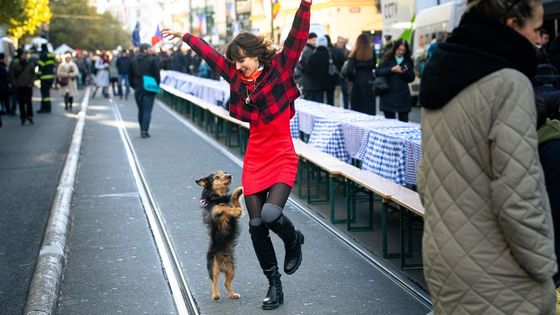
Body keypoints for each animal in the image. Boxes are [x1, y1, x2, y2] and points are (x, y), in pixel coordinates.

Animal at [195, 170, 243, 302]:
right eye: (216, 177)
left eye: (225, 172)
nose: (229, 175)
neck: (219, 196)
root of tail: (222, 264)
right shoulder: (214, 213)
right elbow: (220, 207)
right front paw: (230, 208)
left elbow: (234, 203)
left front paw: (238, 191)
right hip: (213, 266)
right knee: (214, 282)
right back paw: (215, 295)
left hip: (231, 269)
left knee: (226, 283)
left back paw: (232, 295)